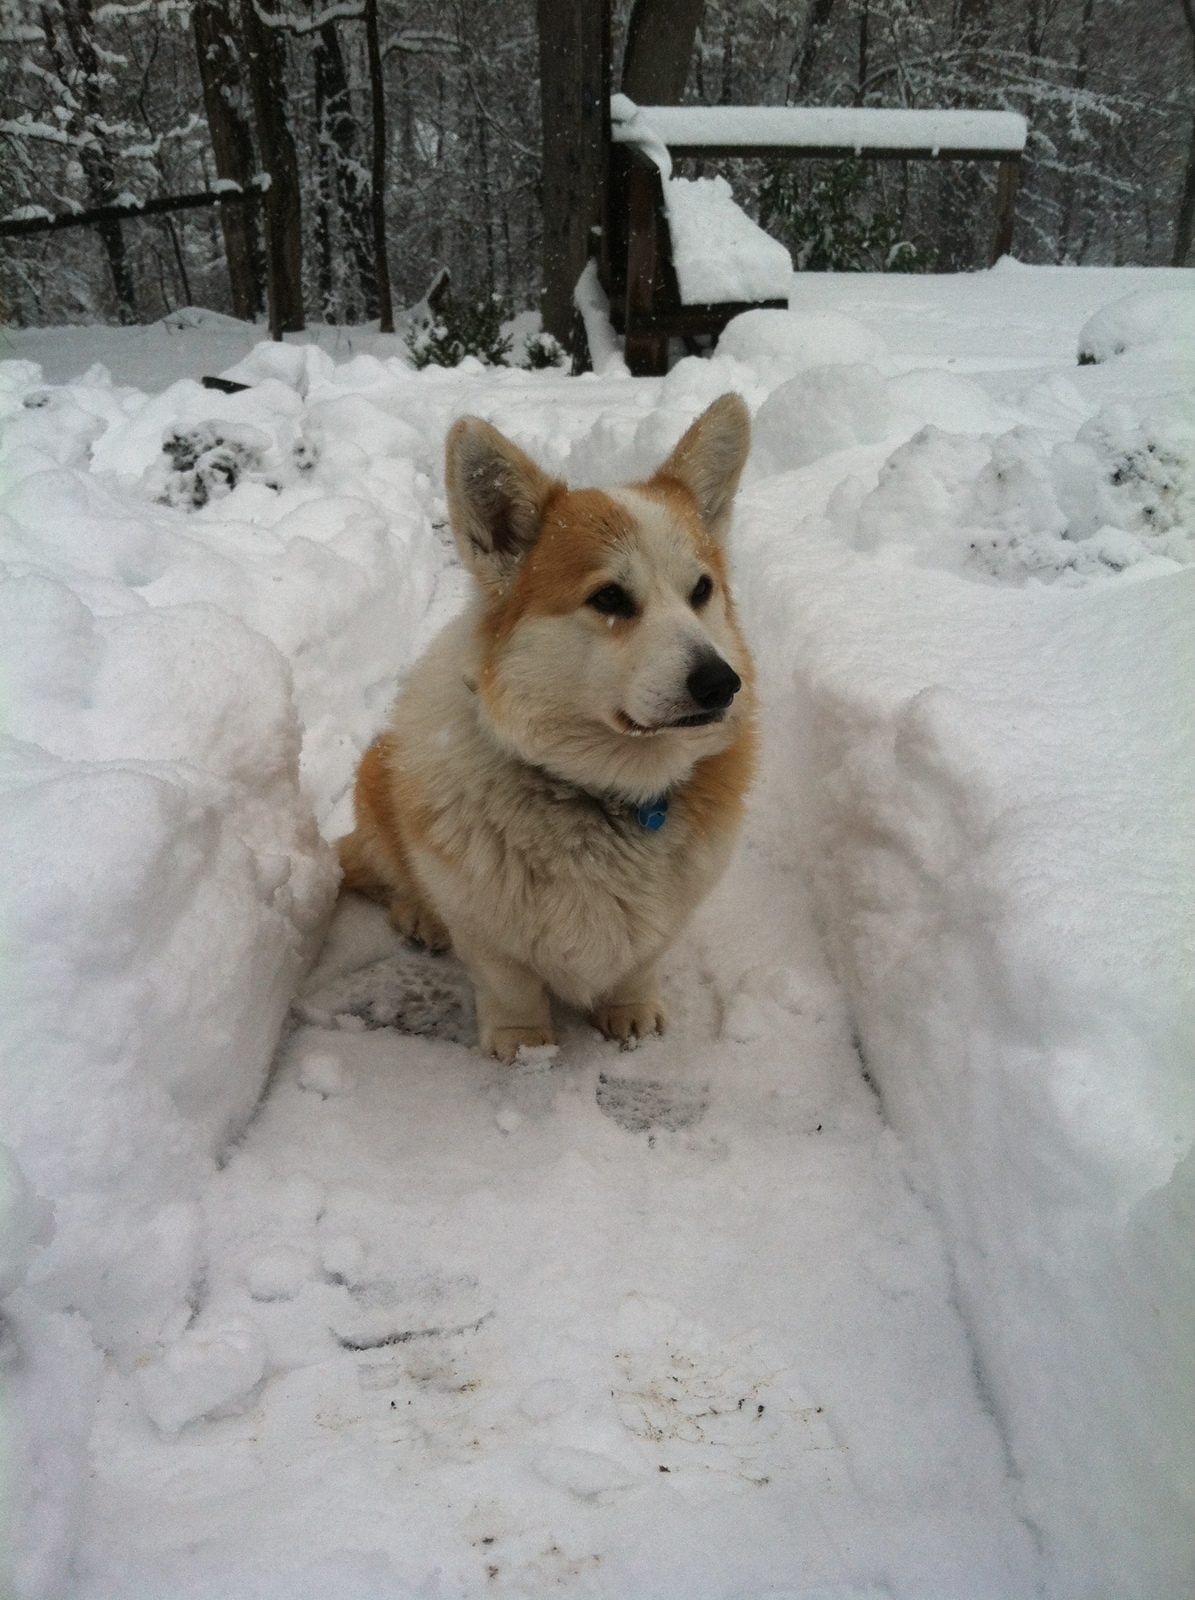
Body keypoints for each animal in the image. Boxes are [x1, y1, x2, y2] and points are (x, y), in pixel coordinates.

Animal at [337, 393, 757, 1062]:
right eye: (609, 598)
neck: (600, 791)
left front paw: (630, 1012)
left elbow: (639, 963)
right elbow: (508, 983)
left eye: (702, 590)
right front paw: (525, 1045)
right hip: (377, 776)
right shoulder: (483, 929)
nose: (722, 683)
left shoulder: (664, 922)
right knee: (380, 870)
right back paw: (417, 914)